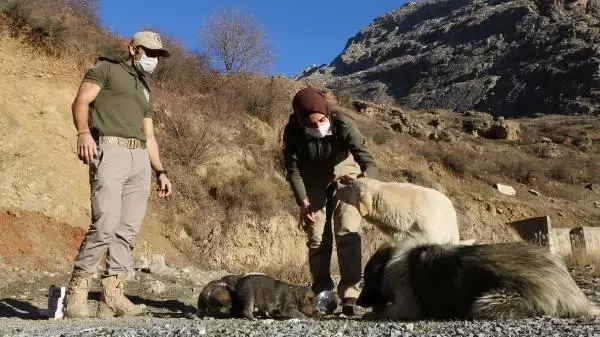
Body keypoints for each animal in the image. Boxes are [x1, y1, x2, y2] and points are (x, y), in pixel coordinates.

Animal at [356, 242, 600, 318]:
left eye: (366, 280)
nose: (357, 302)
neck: (391, 263)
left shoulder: (407, 307)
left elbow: (381, 312)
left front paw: (368, 313)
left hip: (485, 302)